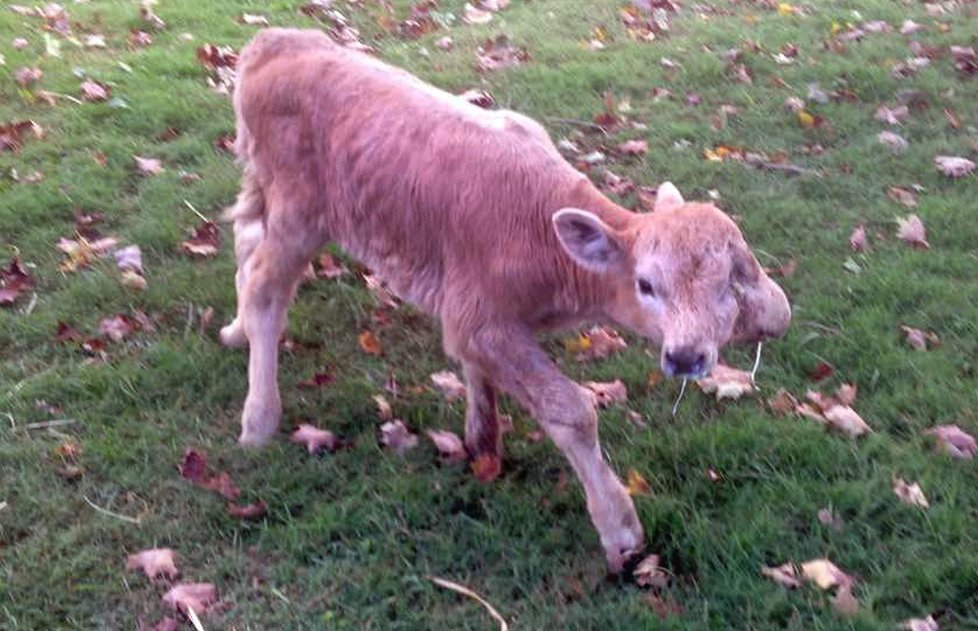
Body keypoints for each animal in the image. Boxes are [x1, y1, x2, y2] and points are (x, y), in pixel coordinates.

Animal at [221, 28, 792, 572]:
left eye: (734, 276)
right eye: (647, 285)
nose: (687, 356)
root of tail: (278, 42)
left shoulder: (469, 313)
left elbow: (478, 374)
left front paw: (482, 443)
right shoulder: (479, 318)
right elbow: (571, 410)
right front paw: (620, 530)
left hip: (268, 191)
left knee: (246, 241)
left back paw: (235, 331)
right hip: (300, 209)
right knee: (266, 288)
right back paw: (258, 418)